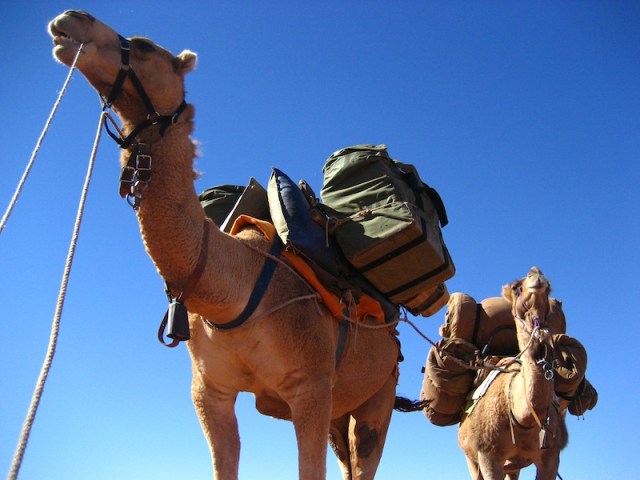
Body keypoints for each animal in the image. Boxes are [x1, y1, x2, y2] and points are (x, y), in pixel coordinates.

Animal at [48, 10, 400, 480]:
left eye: (144, 46)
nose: (71, 20)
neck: (233, 289)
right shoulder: (209, 391)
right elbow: (224, 461)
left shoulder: (311, 384)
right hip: (343, 408)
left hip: (380, 394)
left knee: (365, 454)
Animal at [457, 267, 568, 480]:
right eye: (517, 287)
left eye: (549, 287)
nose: (536, 274)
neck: (522, 417)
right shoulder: (488, 454)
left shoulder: (551, 456)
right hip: (470, 457)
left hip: (513, 465)